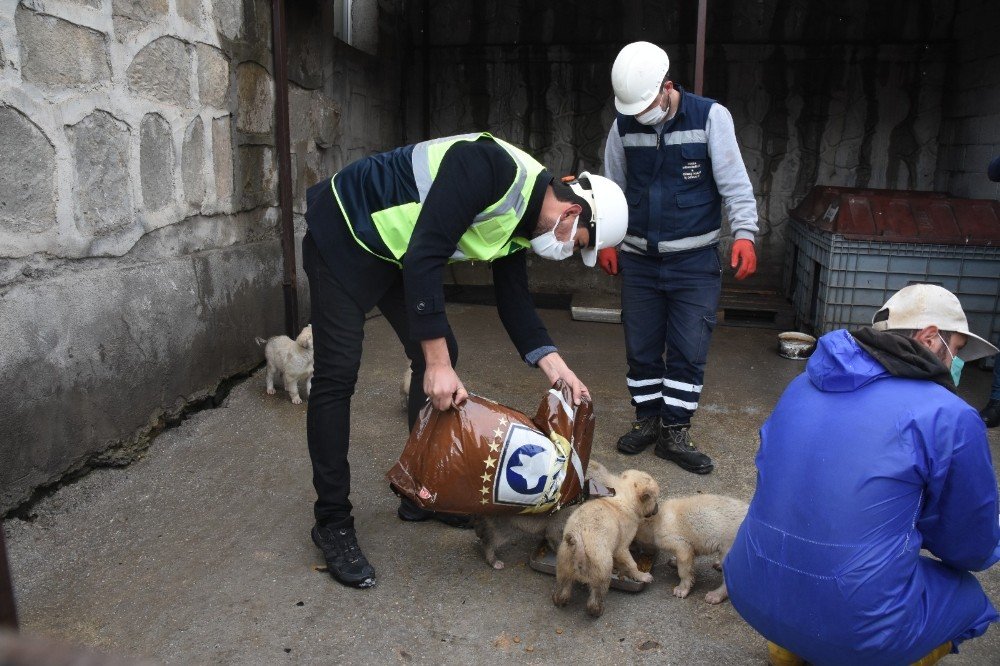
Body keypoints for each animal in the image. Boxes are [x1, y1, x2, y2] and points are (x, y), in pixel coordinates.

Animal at [470, 460, 616, 568]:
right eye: (604, 486)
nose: (613, 491)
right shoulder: (559, 522)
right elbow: (556, 538)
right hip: (503, 525)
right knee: (490, 540)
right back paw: (493, 560)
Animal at [552, 470, 660, 616]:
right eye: (655, 500)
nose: (658, 508)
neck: (623, 498)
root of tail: (579, 546)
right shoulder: (622, 545)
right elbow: (630, 563)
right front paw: (642, 576)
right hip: (601, 567)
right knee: (597, 593)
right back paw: (597, 610)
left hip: (564, 560)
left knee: (564, 585)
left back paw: (560, 599)